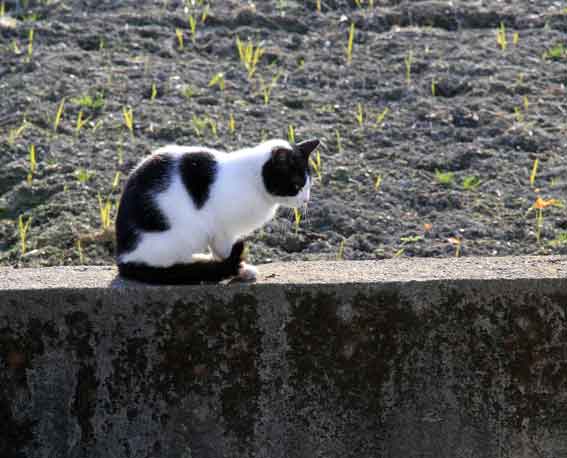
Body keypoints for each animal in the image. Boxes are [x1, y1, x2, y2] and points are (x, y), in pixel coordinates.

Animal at [115, 138, 320, 284]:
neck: (252, 180)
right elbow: (225, 250)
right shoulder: (222, 228)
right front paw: (240, 269)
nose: (305, 200)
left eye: (309, 185)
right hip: (182, 234)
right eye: (296, 185)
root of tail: (123, 258)